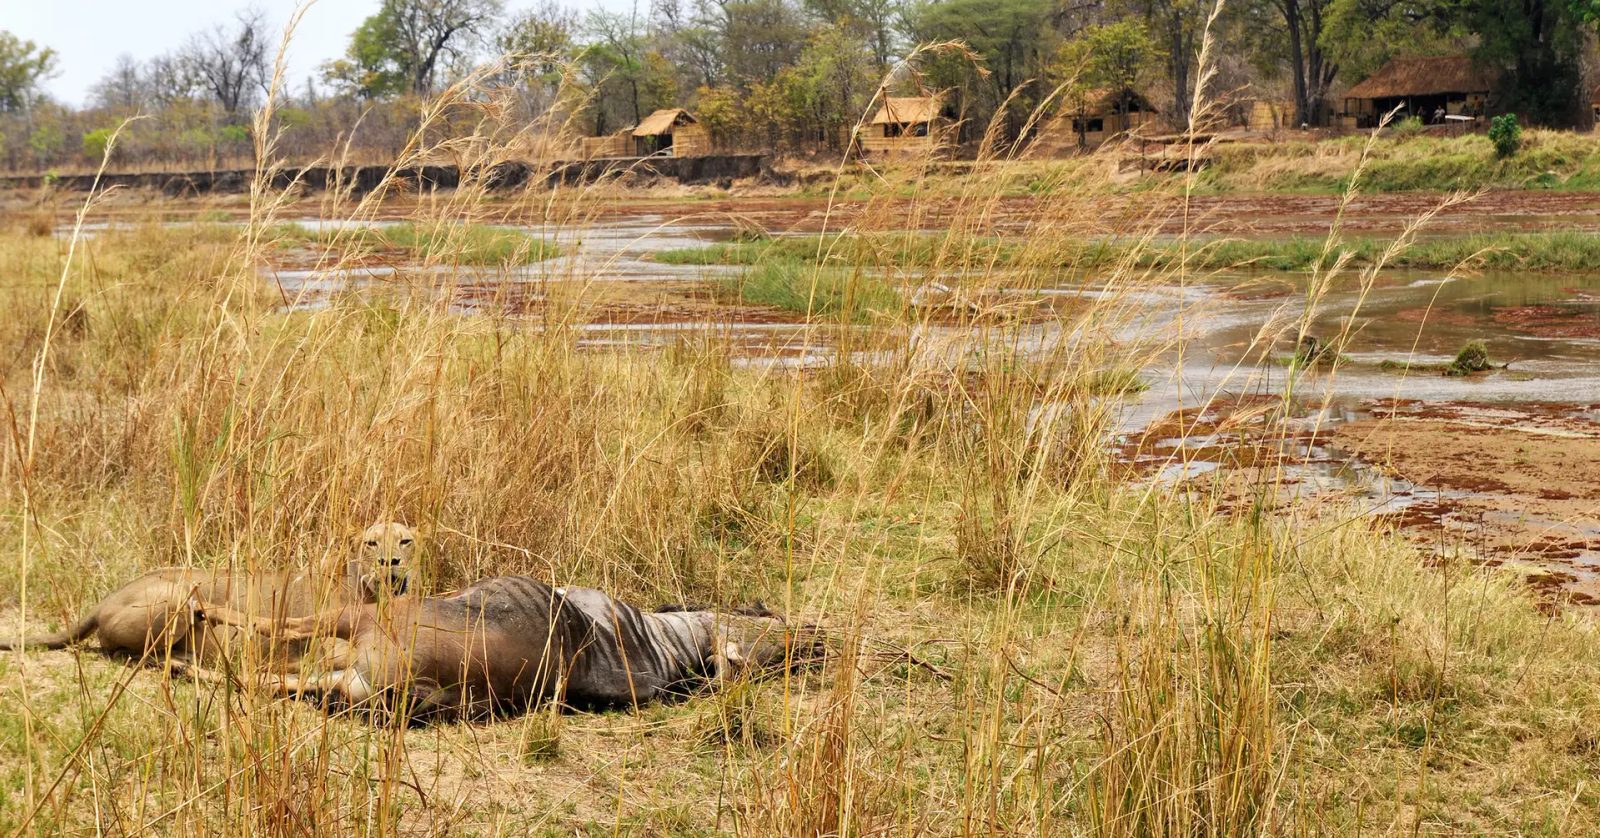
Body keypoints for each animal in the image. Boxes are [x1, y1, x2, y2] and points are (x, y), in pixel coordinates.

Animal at [1, 522, 417, 671]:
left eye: (406, 541)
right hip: (178, 595)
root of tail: (105, 599)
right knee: (125, 651)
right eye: (371, 542)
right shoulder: (319, 642)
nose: (390, 562)